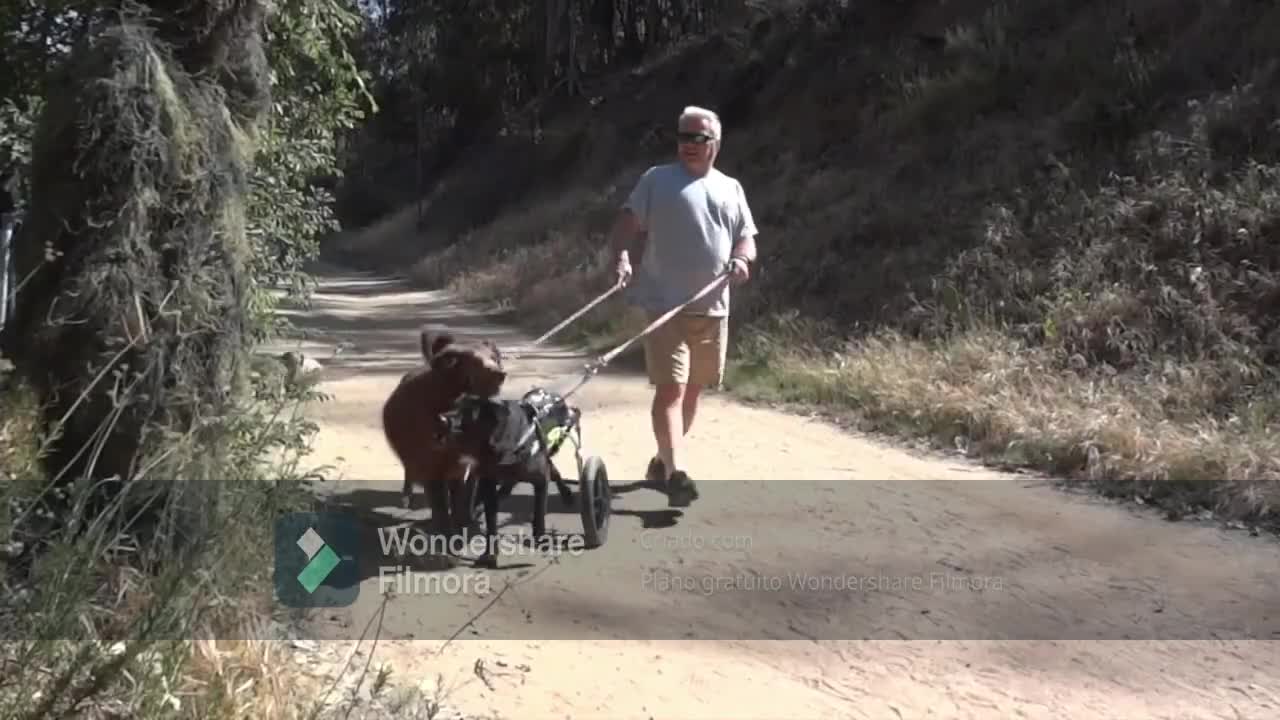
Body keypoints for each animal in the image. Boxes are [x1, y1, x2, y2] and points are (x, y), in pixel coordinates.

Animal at [378, 326, 504, 532]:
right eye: (473, 360)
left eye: (494, 357)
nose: (500, 373)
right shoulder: (432, 462)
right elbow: (440, 502)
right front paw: (445, 529)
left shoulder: (468, 464)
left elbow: (463, 498)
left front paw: (465, 523)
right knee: (411, 474)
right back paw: (407, 499)